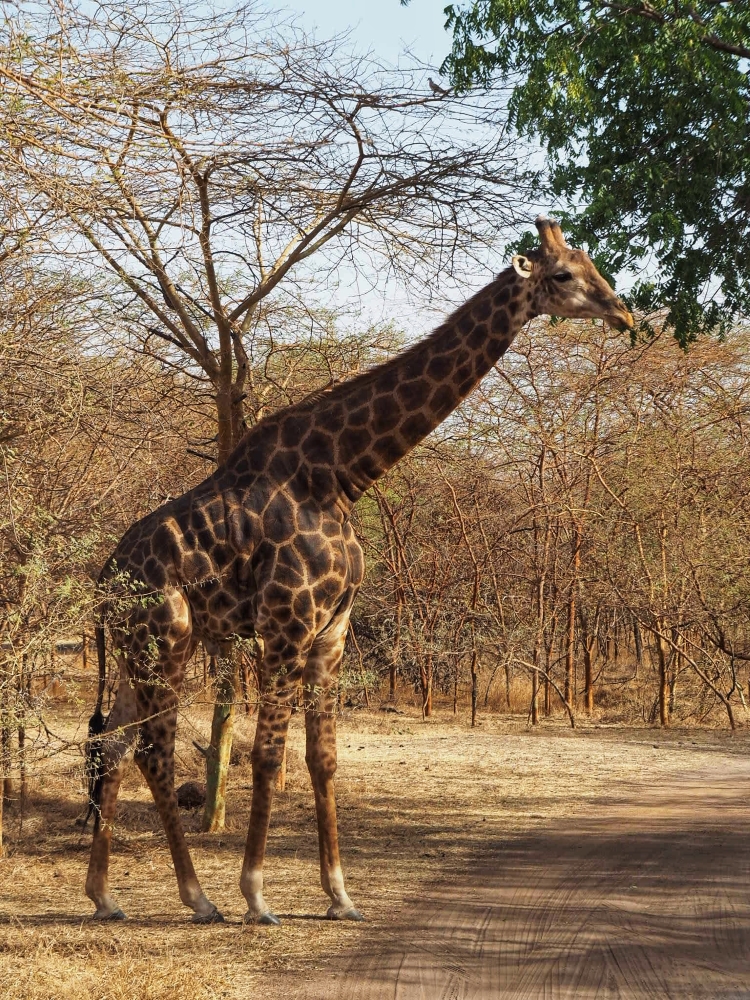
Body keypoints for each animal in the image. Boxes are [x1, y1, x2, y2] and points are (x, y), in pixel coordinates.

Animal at [83, 217, 636, 920]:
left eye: (593, 264)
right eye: (564, 274)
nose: (622, 312)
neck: (344, 472)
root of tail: (103, 582)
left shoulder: (332, 628)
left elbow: (323, 758)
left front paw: (340, 894)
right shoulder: (286, 623)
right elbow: (266, 756)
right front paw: (257, 895)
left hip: (136, 650)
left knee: (113, 745)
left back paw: (104, 896)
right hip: (168, 638)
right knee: (154, 750)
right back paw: (198, 897)